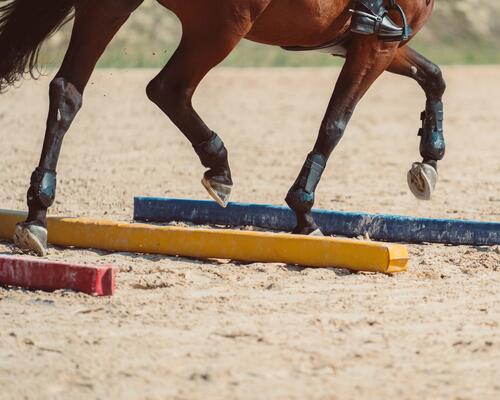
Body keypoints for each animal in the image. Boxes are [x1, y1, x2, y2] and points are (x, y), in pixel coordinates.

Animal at [0, 0, 446, 255]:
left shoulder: (376, 43)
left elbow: (434, 77)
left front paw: (429, 161)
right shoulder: (376, 44)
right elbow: (335, 122)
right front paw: (303, 210)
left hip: (112, 8)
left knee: (67, 92)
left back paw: (37, 214)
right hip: (224, 25)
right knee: (168, 89)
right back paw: (220, 169)